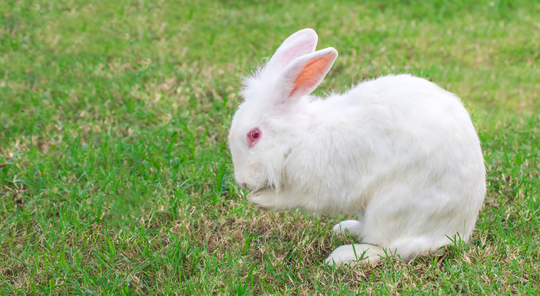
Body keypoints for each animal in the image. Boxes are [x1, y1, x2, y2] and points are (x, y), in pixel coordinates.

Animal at [228, 28, 486, 264]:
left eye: (254, 135)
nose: (243, 182)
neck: (302, 136)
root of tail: (456, 233)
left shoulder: (319, 185)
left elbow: (292, 198)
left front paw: (259, 200)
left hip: (391, 208)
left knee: (390, 249)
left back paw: (343, 256)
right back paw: (345, 228)